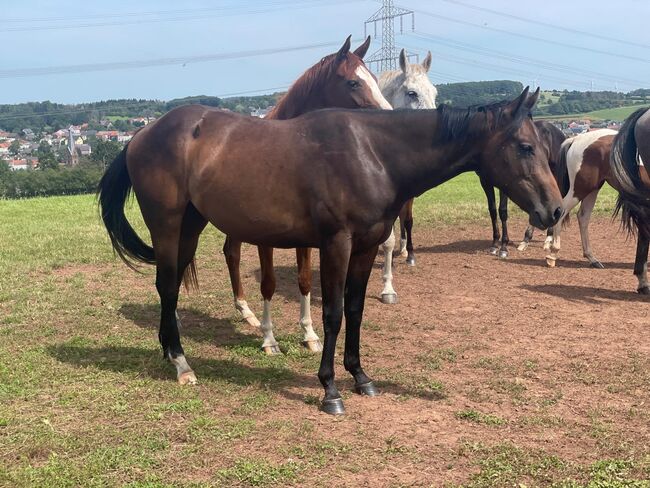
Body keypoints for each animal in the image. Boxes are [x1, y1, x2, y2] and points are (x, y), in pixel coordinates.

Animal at [98, 86, 560, 412]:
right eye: (525, 147)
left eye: (542, 144)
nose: (554, 209)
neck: (374, 154)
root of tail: (141, 134)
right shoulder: (336, 244)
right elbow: (333, 312)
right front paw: (330, 389)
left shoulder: (366, 247)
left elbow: (355, 309)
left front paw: (361, 377)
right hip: (168, 226)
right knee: (167, 286)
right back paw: (180, 362)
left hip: (191, 226)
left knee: (171, 285)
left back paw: (169, 351)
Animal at [220, 35, 390, 354]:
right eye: (353, 82)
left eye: (374, 79)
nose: (389, 119)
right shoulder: (265, 238)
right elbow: (269, 283)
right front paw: (269, 340)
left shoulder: (309, 237)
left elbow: (305, 280)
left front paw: (310, 335)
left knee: (231, 251)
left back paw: (246, 312)